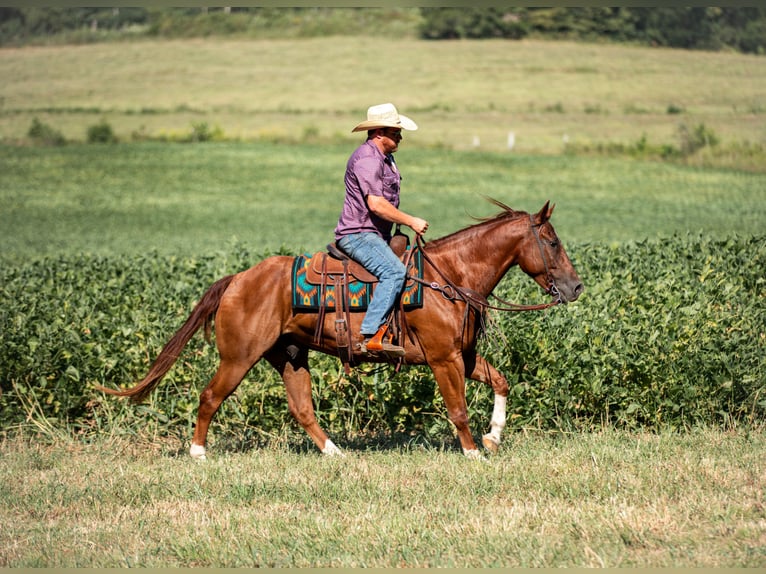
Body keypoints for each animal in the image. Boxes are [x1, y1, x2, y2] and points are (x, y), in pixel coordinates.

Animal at [98, 199, 583, 459]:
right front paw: (472, 452)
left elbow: (501, 381)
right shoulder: (443, 359)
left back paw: (334, 452)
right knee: (210, 396)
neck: (450, 276)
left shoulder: (461, 355)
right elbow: (458, 409)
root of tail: (237, 279)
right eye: (552, 241)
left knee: (302, 409)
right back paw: (198, 453)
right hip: (238, 357)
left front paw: (493, 435)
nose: (575, 286)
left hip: (290, 356)